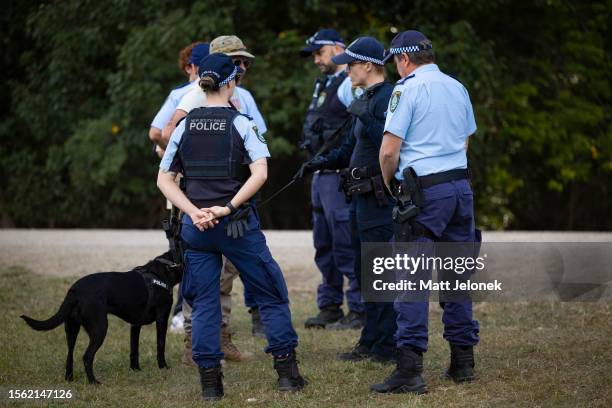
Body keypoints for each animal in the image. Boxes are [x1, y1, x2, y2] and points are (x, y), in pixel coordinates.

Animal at [22, 250, 184, 384]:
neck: (166, 268)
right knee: (87, 357)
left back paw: (69, 379)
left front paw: (135, 370)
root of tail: (75, 291)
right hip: (99, 329)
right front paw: (163, 367)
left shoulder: (135, 324)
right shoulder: (162, 318)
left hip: (71, 328)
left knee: (70, 355)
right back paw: (93, 382)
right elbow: (160, 345)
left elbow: (134, 349)